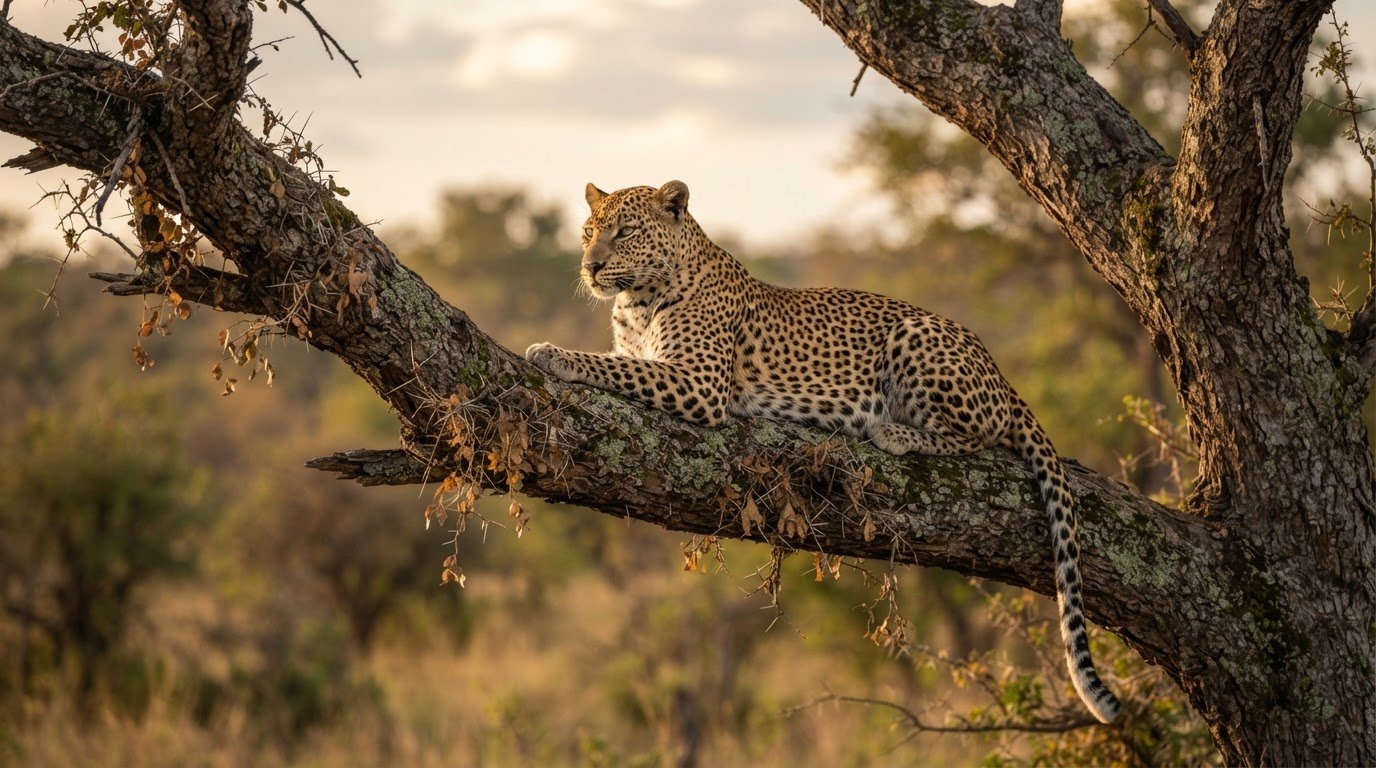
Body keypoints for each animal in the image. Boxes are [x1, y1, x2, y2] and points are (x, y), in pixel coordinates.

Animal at [524, 180, 1121, 723]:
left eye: (624, 232)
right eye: (587, 232)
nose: (591, 268)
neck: (637, 302)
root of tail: (1000, 374)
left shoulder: (699, 383)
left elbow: (612, 366)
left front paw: (553, 353)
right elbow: (620, 360)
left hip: (916, 336)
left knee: (976, 437)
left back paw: (891, 431)